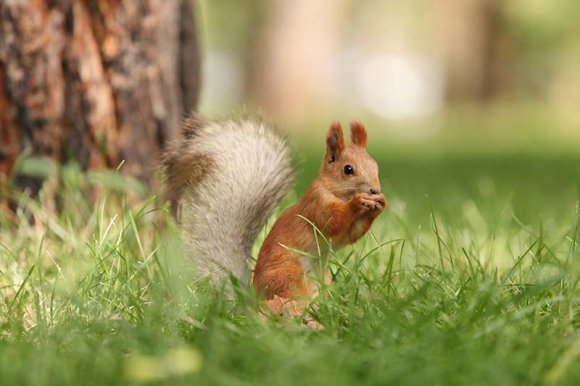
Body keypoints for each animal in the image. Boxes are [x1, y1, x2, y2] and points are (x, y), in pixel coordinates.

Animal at [162, 114, 386, 320]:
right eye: (348, 169)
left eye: (375, 166)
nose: (375, 190)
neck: (335, 191)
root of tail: (253, 300)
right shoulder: (316, 204)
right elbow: (333, 222)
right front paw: (357, 202)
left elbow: (348, 235)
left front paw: (379, 206)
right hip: (288, 277)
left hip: (322, 279)